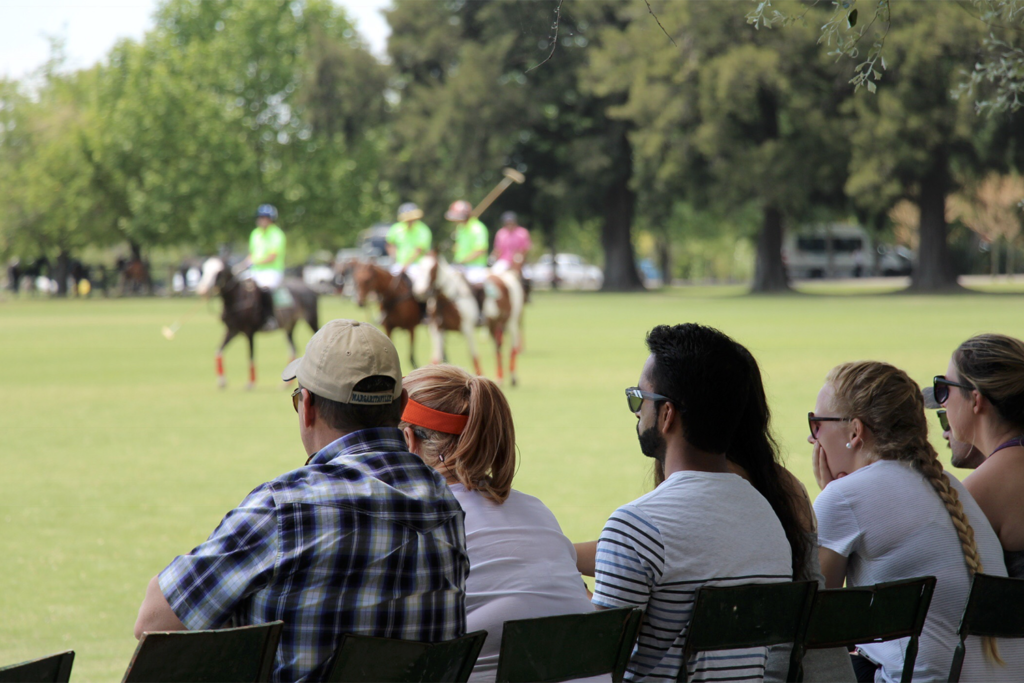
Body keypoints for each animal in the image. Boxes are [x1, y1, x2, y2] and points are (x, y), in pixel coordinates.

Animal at [193, 258, 317, 389]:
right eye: (205, 268)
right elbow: (218, 351)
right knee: (293, 349)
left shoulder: (249, 331)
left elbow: (250, 356)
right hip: (289, 326)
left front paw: (250, 383)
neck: (237, 299)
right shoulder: (232, 330)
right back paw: (286, 384)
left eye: (219, 272)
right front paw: (222, 381)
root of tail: (307, 286)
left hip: (311, 319)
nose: (202, 290)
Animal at [409, 254, 524, 385]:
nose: (420, 292)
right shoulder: (436, 328)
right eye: (419, 267)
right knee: (497, 347)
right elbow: (436, 357)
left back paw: (513, 377)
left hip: (511, 321)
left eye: (433, 269)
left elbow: (473, 354)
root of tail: (508, 275)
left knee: (513, 346)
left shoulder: (467, 328)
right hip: (493, 323)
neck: (447, 298)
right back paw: (500, 377)